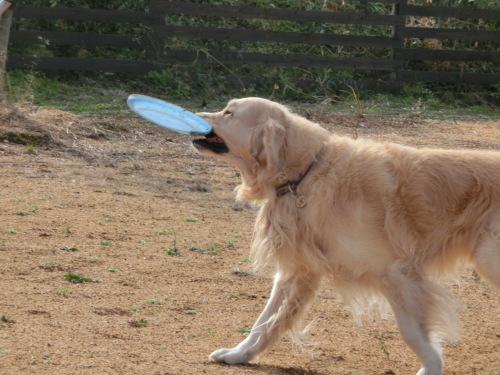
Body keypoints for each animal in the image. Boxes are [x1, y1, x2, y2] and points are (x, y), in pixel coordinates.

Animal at [190, 97, 496, 375]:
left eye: (229, 112)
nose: (193, 114)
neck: (306, 173)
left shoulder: (396, 272)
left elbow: (412, 331)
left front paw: (431, 367)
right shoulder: (297, 268)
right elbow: (264, 322)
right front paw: (238, 354)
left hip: (488, 258)